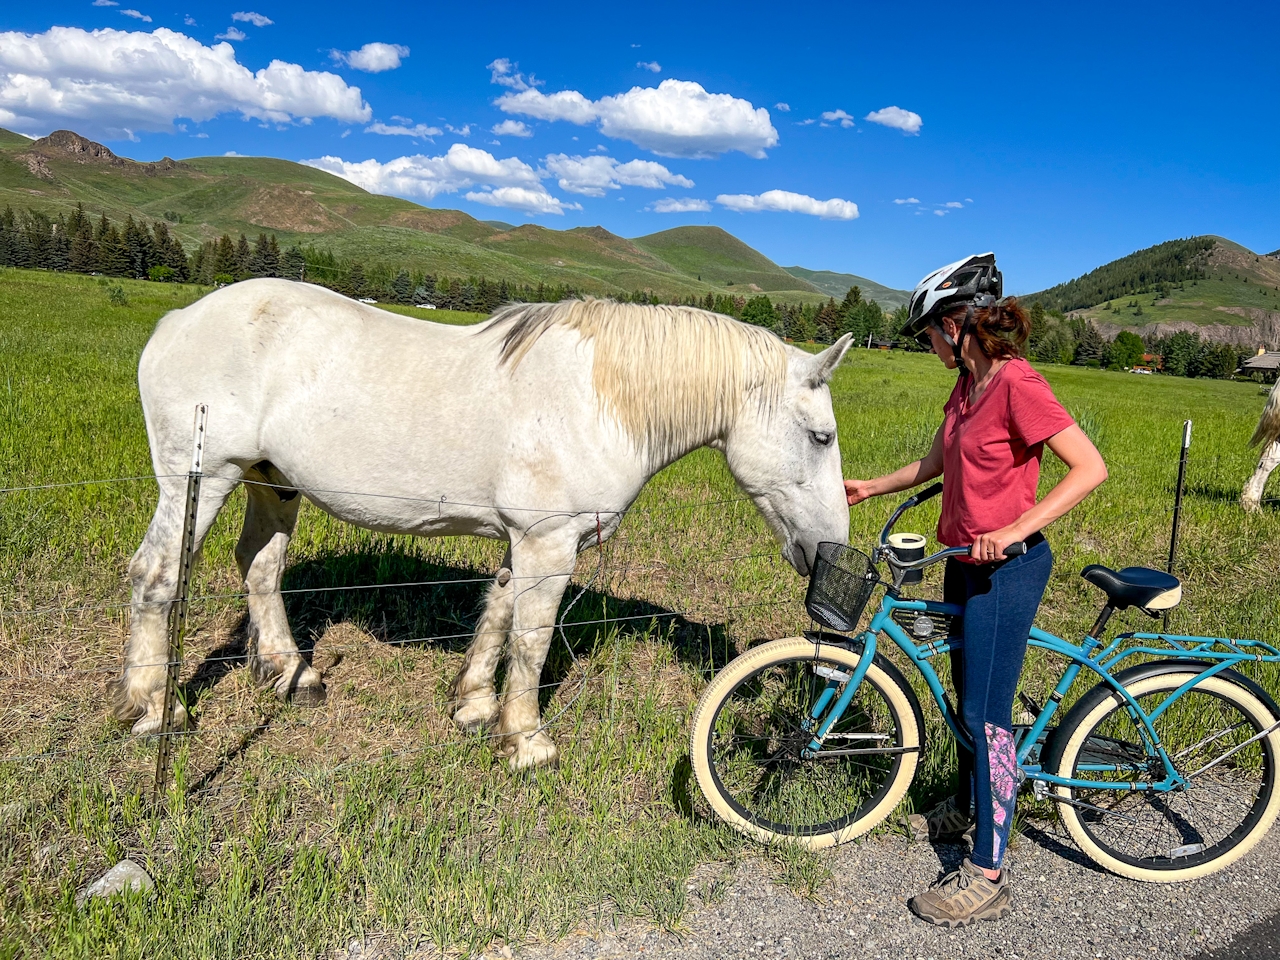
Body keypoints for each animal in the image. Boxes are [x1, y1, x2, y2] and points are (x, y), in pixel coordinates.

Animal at [110, 281, 849, 773]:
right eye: (820, 436)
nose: (826, 552)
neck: (598, 399)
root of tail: (177, 320)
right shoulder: (549, 543)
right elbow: (531, 638)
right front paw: (526, 740)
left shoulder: (523, 541)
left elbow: (496, 615)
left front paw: (472, 707)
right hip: (199, 481)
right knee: (156, 577)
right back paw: (156, 710)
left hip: (271, 481)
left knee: (260, 567)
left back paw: (294, 674)